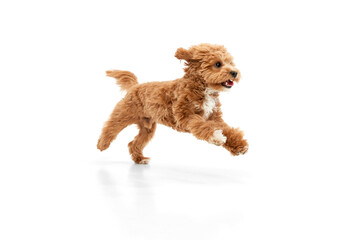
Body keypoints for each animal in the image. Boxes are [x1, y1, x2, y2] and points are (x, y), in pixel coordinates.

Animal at [97, 43, 249, 164]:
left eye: (231, 63)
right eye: (218, 64)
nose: (234, 72)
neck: (203, 88)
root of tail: (135, 86)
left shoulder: (214, 118)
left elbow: (228, 130)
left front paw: (239, 145)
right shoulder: (186, 116)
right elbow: (201, 126)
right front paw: (216, 137)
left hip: (147, 128)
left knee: (134, 143)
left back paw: (140, 159)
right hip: (123, 114)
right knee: (110, 127)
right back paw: (102, 144)